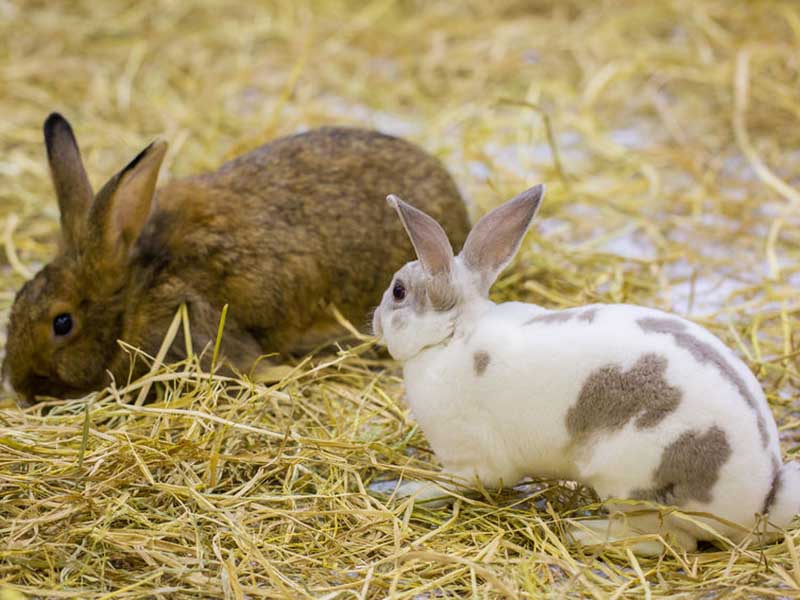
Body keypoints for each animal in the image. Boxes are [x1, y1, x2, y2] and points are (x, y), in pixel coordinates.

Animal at [372, 185, 796, 556]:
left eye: (398, 291)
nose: (374, 320)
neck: (452, 335)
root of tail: (759, 503)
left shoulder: (470, 460)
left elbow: (451, 482)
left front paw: (407, 490)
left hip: (631, 486)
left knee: (669, 542)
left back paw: (582, 533)